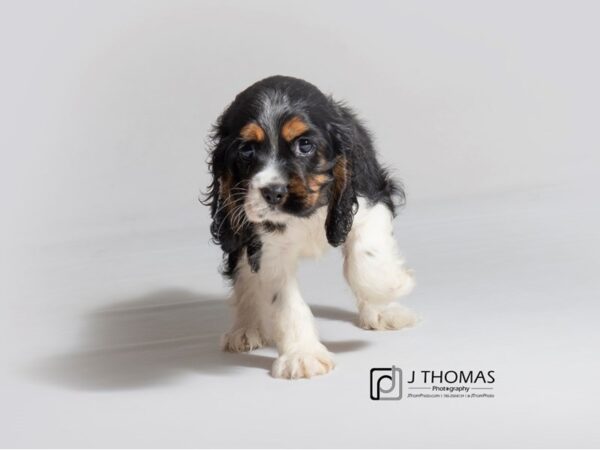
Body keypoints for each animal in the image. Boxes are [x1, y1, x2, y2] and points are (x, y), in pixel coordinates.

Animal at [204, 75, 414, 378]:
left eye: (305, 145)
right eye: (246, 150)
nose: (273, 192)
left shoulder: (370, 196)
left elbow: (365, 259)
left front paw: (389, 286)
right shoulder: (265, 245)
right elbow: (284, 301)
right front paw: (302, 356)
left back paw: (383, 312)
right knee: (243, 275)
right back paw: (246, 329)